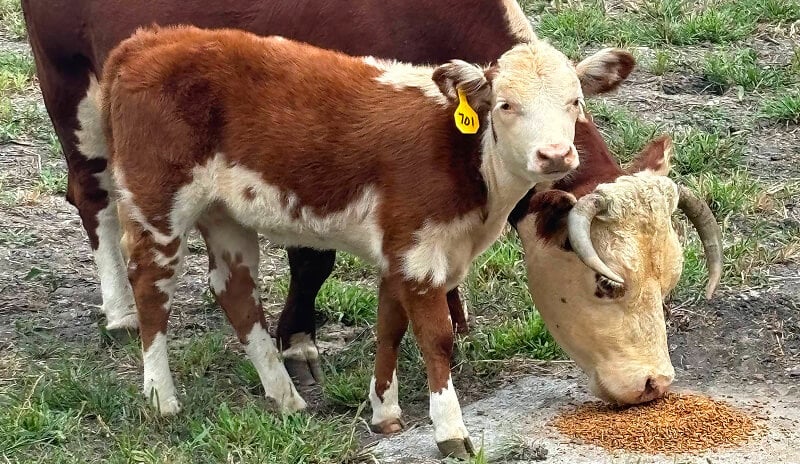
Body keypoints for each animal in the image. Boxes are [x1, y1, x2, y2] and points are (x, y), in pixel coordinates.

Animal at [82, 25, 633, 457]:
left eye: (575, 101)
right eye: (505, 104)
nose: (555, 154)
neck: (468, 161)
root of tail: (147, 41)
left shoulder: (399, 248)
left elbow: (390, 326)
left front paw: (384, 412)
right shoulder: (417, 248)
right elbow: (436, 338)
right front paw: (450, 431)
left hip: (225, 213)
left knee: (235, 290)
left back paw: (285, 397)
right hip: (156, 200)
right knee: (150, 288)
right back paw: (162, 399)